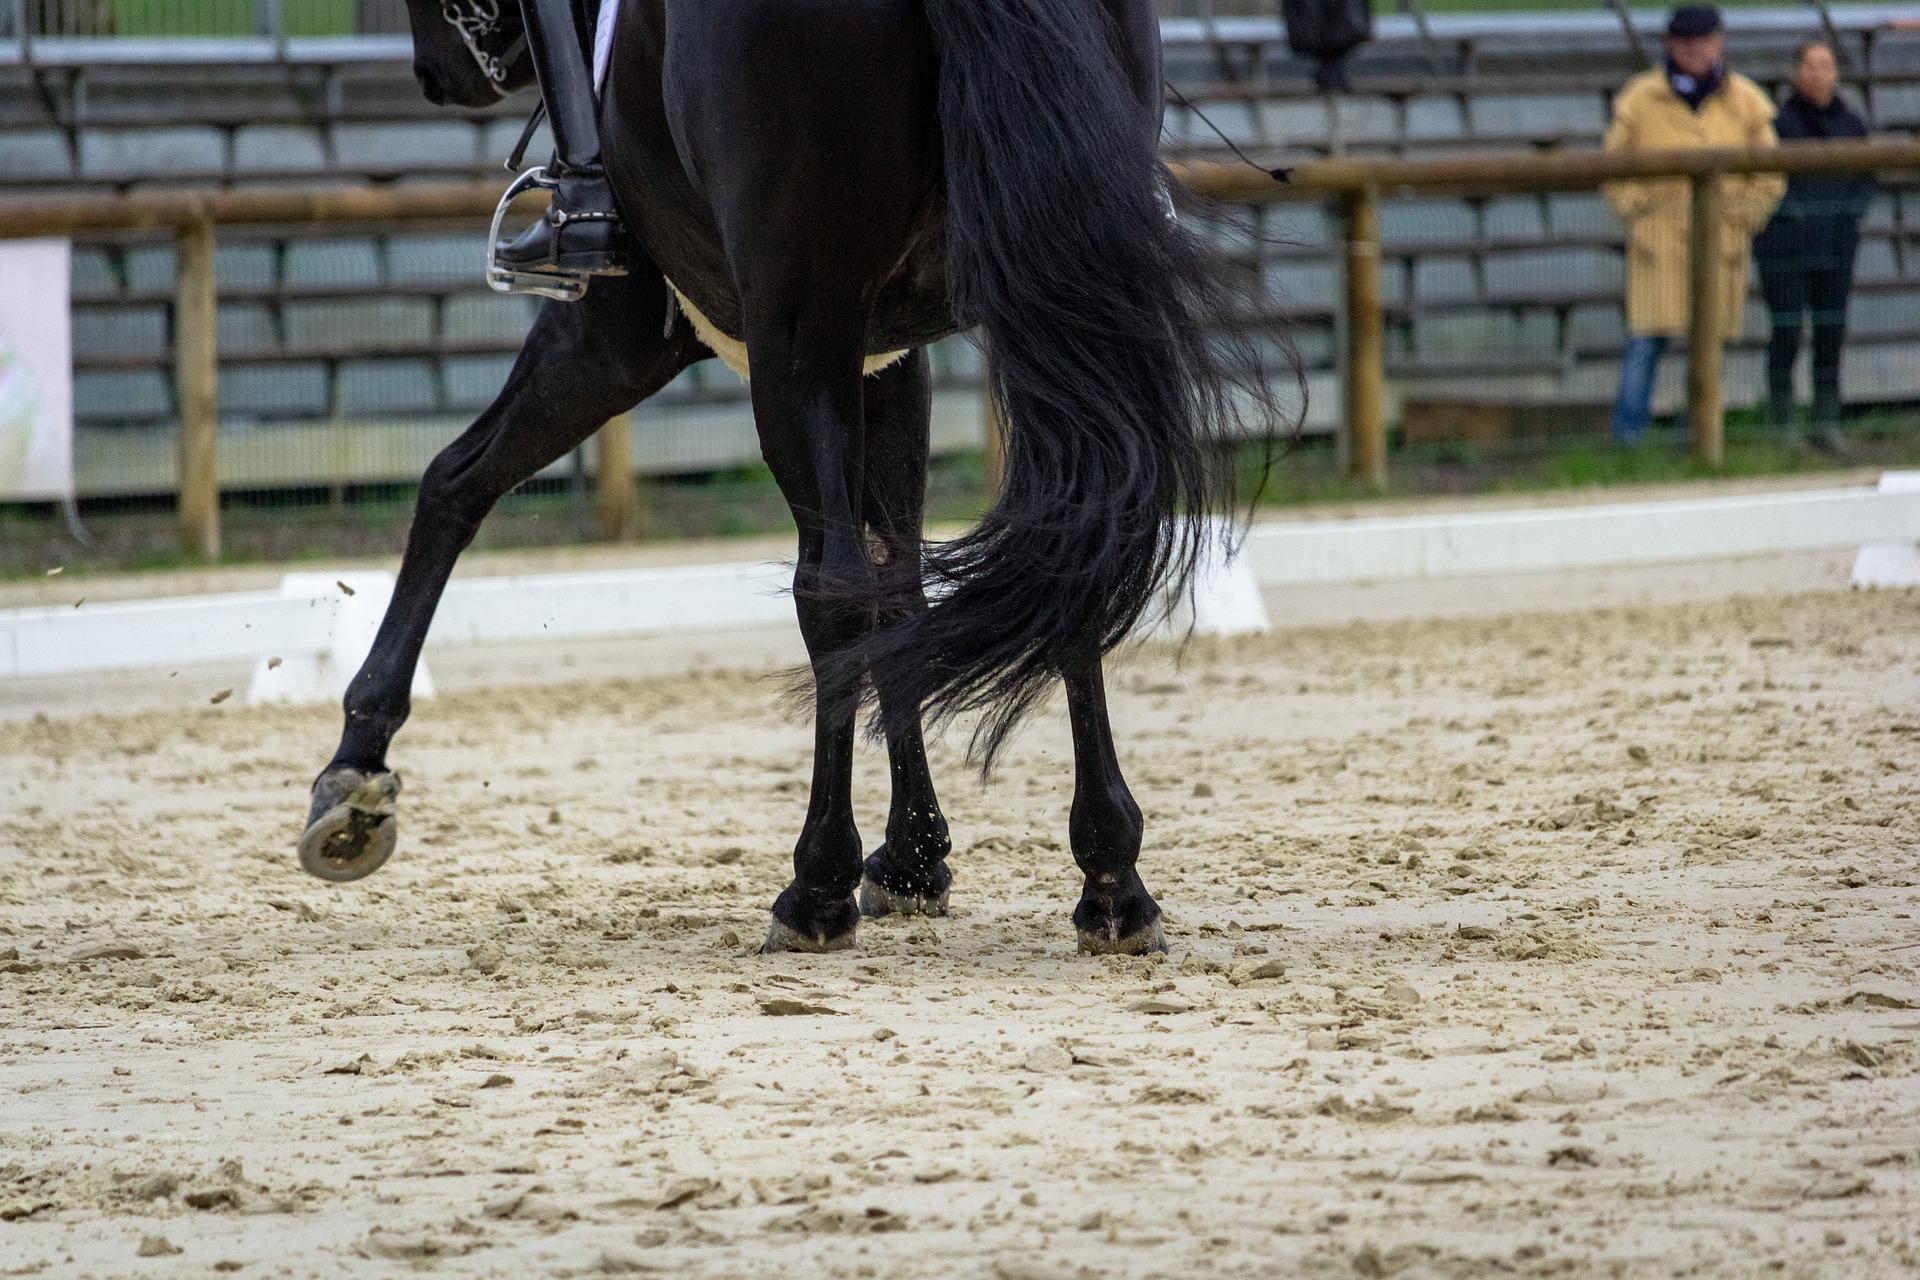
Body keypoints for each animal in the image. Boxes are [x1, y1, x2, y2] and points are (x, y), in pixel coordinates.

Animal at [296, 0, 1285, 955]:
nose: (436, 72)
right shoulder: (889, 362)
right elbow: (901, 589)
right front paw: (914, 857)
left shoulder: (623, 331)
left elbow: (452, 481)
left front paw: (355, 769)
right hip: (1045, 300)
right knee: (1069, 538)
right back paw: (1111, 884)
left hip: (792, 339)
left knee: (833, 591)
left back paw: (815, 889)